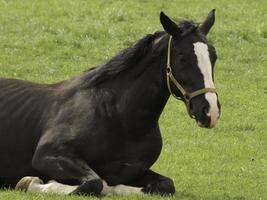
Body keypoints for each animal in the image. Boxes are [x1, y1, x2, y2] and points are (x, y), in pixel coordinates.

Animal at [0, 10, 221, 196]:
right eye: (182, 57)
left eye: (214, 56)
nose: (210, 111)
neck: (118, 116)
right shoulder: (48, 154)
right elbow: (95, 183)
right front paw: (31, 182)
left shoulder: (135, 170)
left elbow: (165, 185)